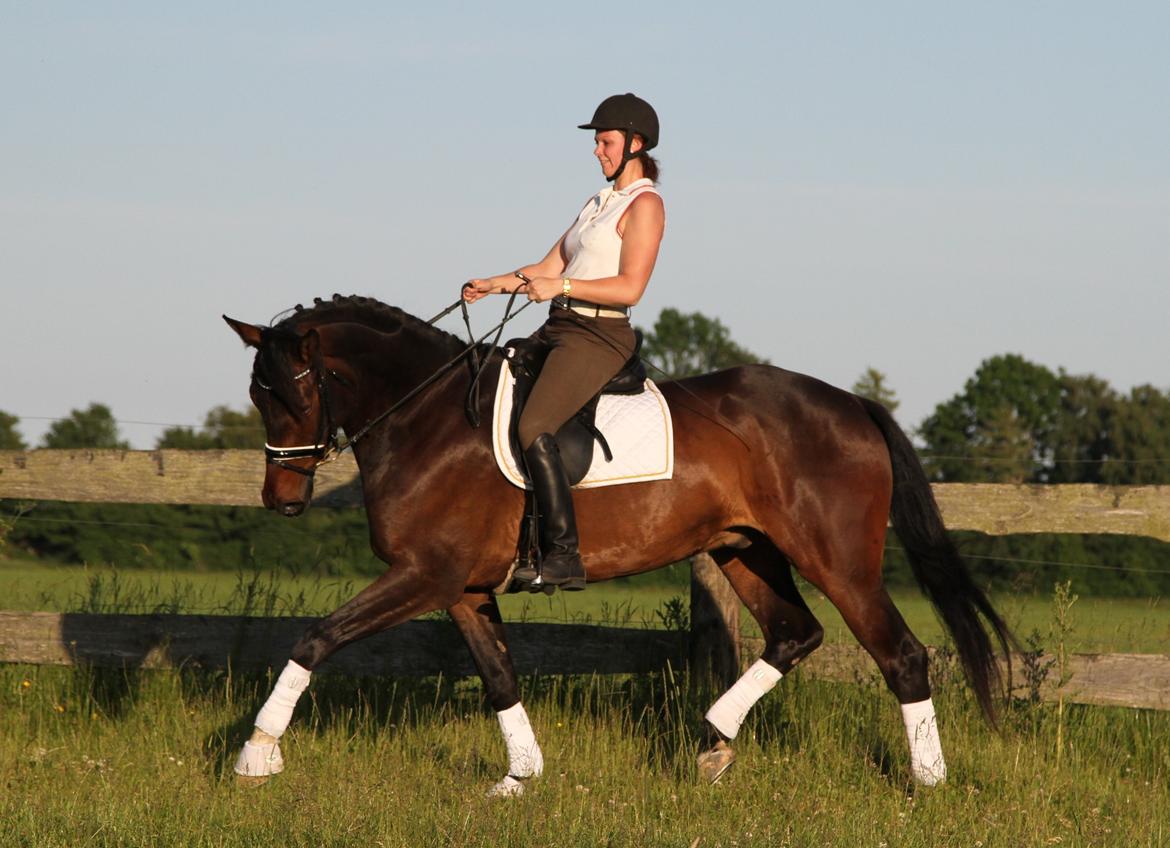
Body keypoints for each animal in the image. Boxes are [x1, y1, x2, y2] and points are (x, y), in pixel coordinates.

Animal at [223, 294, 1010, 790]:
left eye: (294, 392)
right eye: (258, 394)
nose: (281, 499)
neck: (430, 418)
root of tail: (851, 404)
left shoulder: (425, 575)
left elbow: (316, 637)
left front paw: (256, 756)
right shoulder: (465, 588)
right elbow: (500, 676)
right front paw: (520, 779)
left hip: (838, 560)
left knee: (900, 654)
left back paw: (927, 783)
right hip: (743, 548)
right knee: (795, 633)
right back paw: (712, 741)